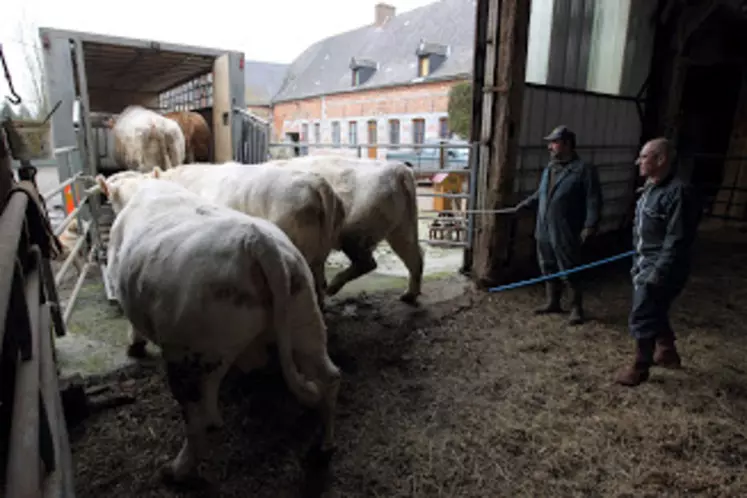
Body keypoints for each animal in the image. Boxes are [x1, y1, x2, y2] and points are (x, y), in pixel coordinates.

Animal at [90, 173, 342, 484]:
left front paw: (134, 346)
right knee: (329, 379)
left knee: (200, 418)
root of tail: (257, 242)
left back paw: (177, 470)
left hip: (192, 353)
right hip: (304, 321)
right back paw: (323, 450)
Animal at [268, 155, 424, 304]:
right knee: (413, 254)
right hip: (403, 220)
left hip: (358, 222)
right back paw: (407, 296)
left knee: (367, 261)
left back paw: (331, 288)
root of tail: (401, 172)